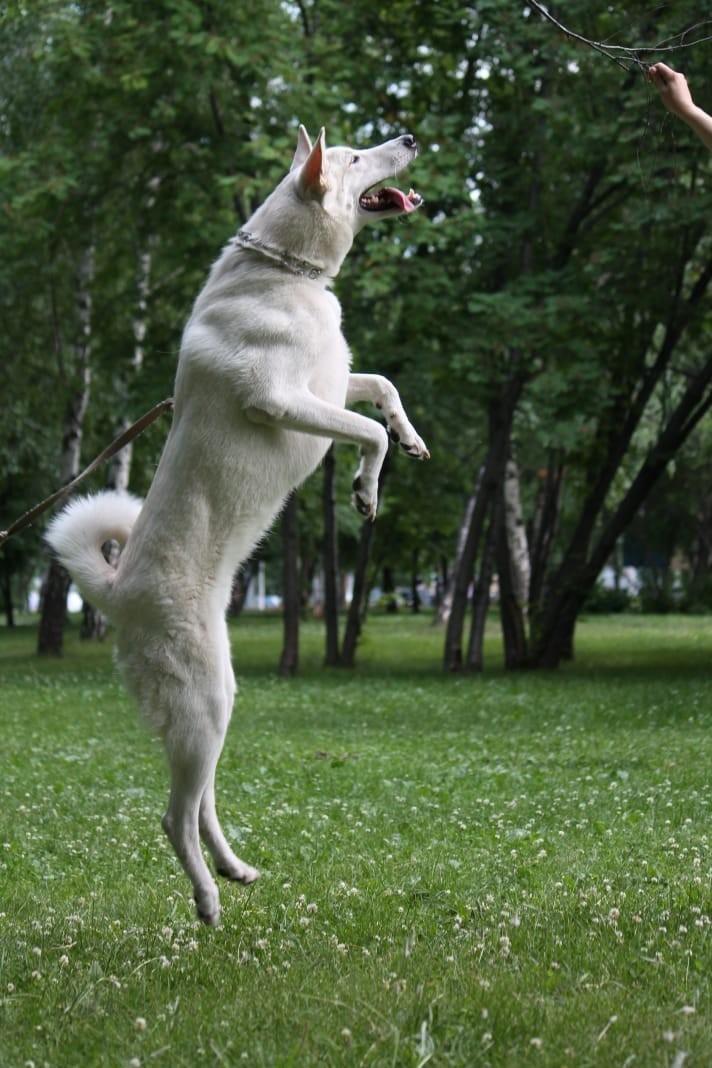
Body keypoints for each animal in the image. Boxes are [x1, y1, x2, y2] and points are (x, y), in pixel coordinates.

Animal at [50, 127, 431, 927]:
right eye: (356, 157)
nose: (409, 136)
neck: (285, 273)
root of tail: (116, 592)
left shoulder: (331, 382)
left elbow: (381, 389)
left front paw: (409, 439)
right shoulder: (284, 401)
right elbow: (364, 432)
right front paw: (365, 489)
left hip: (217, 703)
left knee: (198, 806)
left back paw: (233, 869)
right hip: (201, 707)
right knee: (172, 816)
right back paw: (206, 900)